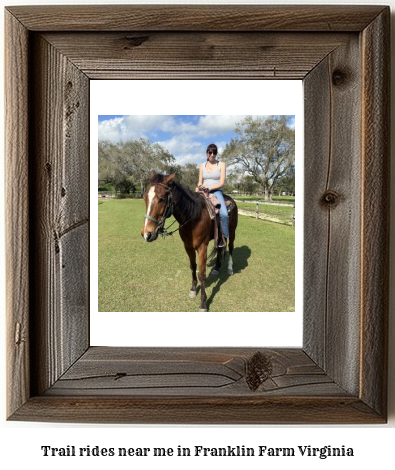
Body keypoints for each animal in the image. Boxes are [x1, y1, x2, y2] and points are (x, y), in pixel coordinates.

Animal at [142, 173, 238, 312]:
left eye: (161, 199)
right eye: (144, 198)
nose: (147, 234)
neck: (193, 217)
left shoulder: (202, 247)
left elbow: (202, 274)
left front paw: (203, 303)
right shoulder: (188, 247)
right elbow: (193, 267)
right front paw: (193, 290)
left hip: (232, 232)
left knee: (230, 247)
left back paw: (230, 268)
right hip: (219, 237)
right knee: (220, 248)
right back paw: (216, 268)